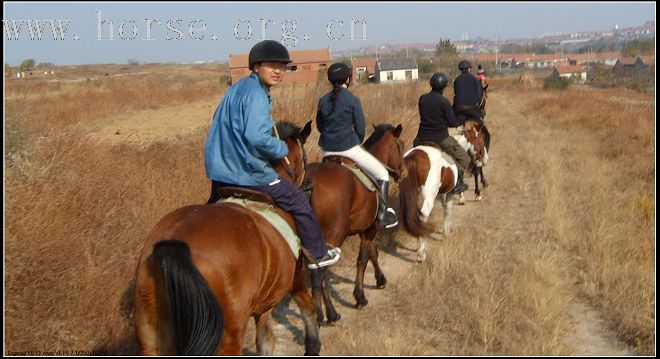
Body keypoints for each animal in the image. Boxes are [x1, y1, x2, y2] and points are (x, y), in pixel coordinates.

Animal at [133, 121, 320, 358]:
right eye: (304, 156)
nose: (309, 184)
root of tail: (172, 248)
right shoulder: (294, 281)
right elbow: (306, 308)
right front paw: (313, 346)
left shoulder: (264, 303)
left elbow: (265, 342)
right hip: (228, 334)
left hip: (151, 335)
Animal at [306, 123, 404, 324]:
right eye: (401, 145)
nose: (402, 172)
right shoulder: (370, 229)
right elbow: (363, 260)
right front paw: (360, 297)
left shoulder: (365, 228)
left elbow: (373, 253)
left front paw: (380, 280)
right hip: (334, 235)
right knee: (321, 272)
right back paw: (324, 314)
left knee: (318, 271)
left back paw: (329, 313)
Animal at [400, 119, 488, 262]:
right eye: (482, 138)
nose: (485, 160)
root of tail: (413, 158)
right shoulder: (450, 193)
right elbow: (448, 210)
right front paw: (446, 232)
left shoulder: (442, 194)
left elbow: (446, 209)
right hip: (428, 199)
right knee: (423, 217)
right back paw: (421, 254)